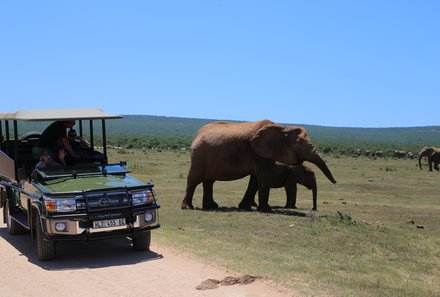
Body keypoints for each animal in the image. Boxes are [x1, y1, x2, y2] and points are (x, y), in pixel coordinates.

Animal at [180, 119, 336, 212]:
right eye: (301, 143)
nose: (314, 210)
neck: (283, 127)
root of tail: (197, 134)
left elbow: (256, 179)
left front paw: (245, 207)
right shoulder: (257, 152)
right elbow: (263, 177)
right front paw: (267, 209)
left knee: (209, 181)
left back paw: (211, 206)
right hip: (199, 154)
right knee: (194, 179)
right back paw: (188, 207)